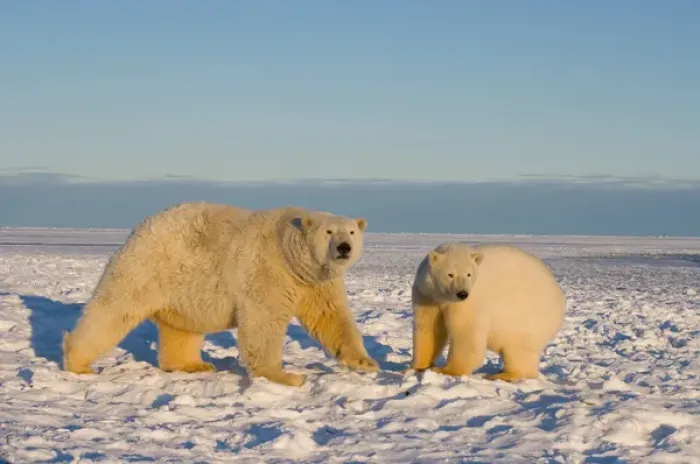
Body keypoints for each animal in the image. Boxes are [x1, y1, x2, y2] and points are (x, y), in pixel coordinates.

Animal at [62, 202, 379, 387]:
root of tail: (139, 227)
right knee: (113, 310)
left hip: (182, 285)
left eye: (352, 232)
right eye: (329, 232)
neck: (289, 252)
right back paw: (79, 363)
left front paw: (365, 362)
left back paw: (194, 364)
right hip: (146, 268)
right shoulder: (268, 270)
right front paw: (287, 376)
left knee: (182, 328)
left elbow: (331, 317)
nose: (344, 248)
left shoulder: (316, 282)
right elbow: (263, 322)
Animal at [410, 242, 566, 382]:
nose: (462, 293)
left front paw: (446, 370)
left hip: (528, 318)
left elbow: (465, 332)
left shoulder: (470, 301)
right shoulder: (426, 296)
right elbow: (428, 329)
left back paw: (503, 375)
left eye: (468, 274)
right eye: (450, 274)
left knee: (518, 349)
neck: (443, 297)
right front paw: (418, 367)